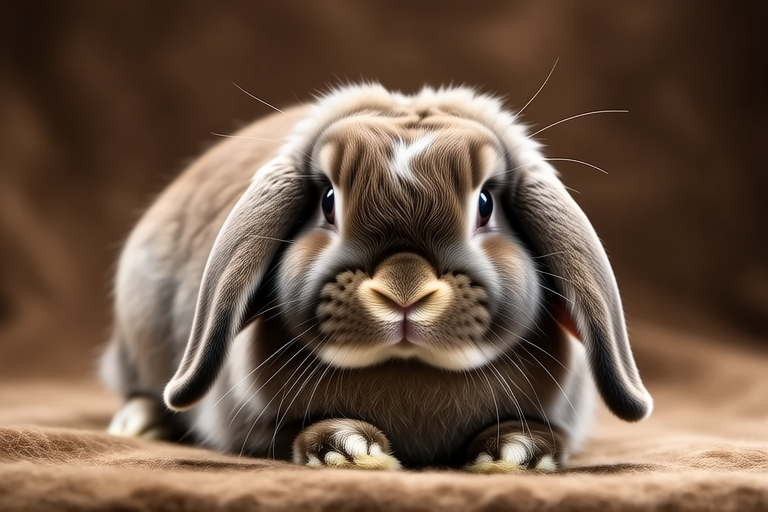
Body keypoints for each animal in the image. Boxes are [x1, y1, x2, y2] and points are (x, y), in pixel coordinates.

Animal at [101, 83, 652, 472]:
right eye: (328, 201)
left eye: (485, 204)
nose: (403, 289)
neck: (408, 371)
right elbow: (293, 433)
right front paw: (349, 450)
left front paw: (515, 454)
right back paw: (139, 424)